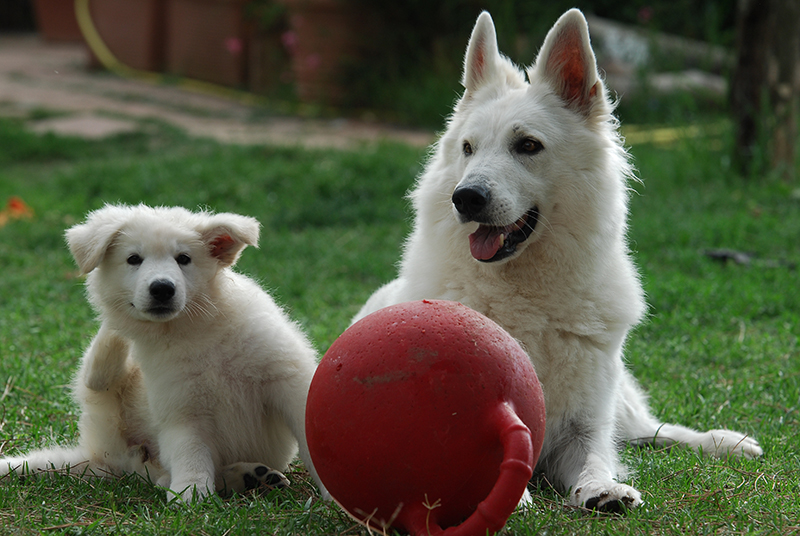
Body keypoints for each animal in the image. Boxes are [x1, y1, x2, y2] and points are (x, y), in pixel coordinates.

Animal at [0, 204, 324, 502]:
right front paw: (191, 492)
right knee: (99, 380)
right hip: (109, 410)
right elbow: (189, 453)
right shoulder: (182, 410)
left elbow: (312, 439)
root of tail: (101, 456)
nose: (162, 289)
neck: (192, 329)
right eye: (134, 259)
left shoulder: (289, 383)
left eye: (184, 259)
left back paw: (248, 476)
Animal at [356, 8, 764, 510]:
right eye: (468, 148)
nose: (465, 198)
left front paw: (603, 489)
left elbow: (596, 455)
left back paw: (723, 441)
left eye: (528, 145)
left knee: (651, 430)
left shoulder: (583, 425)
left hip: (618, 399)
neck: (523, 293)